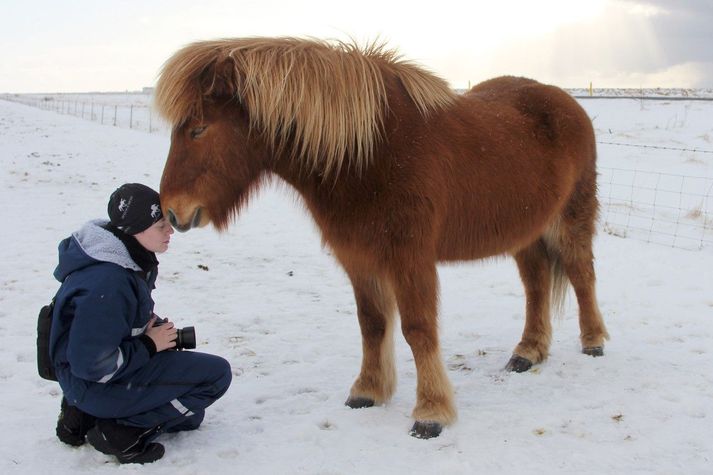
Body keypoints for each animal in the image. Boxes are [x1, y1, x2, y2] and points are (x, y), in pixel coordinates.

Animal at [154, 36, 608, 438]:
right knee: (536, 285)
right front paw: (368, 391)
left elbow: (418, 330)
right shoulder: (360, 258)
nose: (172, 211)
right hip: (526, 233)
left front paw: (431, 413)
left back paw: (593, 342)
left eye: (198, 129)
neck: (369, 152)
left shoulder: (409, 258)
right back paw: (528, 352)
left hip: (571, 219)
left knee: (582, 275)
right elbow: (372, 324)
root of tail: (567, 103)